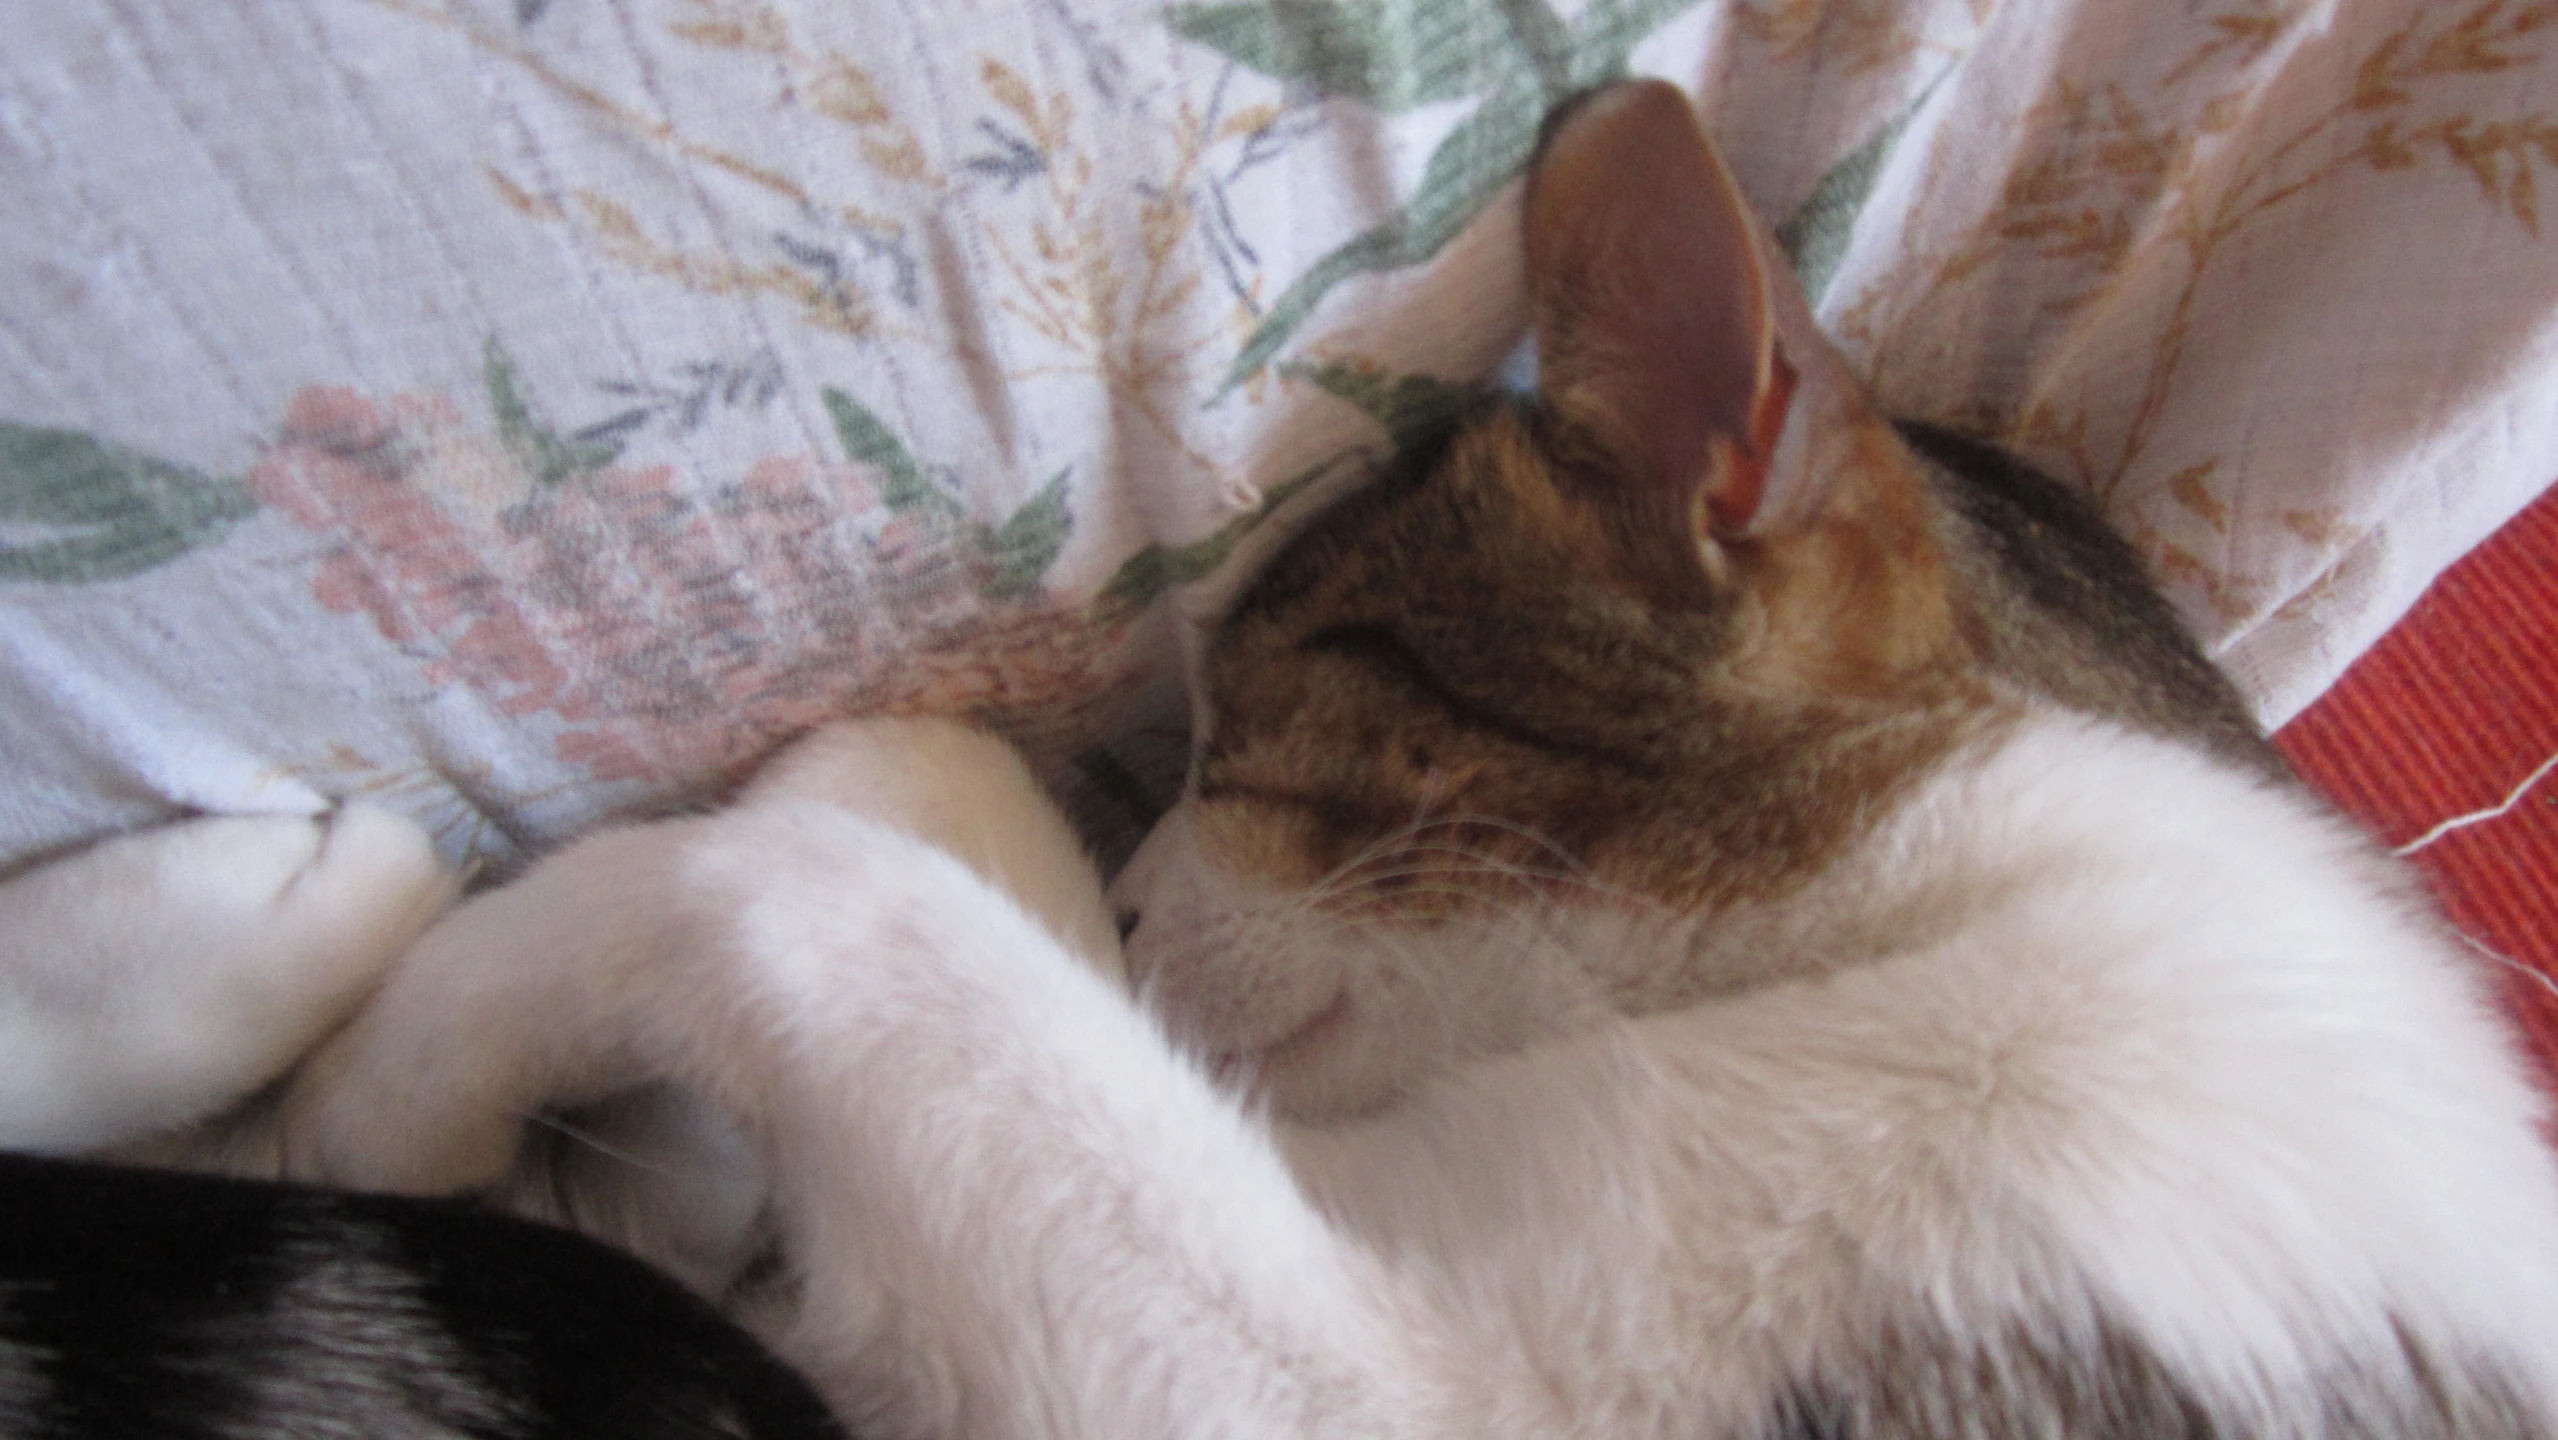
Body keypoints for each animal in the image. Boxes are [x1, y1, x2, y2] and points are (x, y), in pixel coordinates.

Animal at [15, 76, 2558, 1440]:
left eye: (1279, 697)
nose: (1147, 899)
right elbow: (922, 814)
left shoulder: (1353, 1388)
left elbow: (815, 889)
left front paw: (402, 1098)